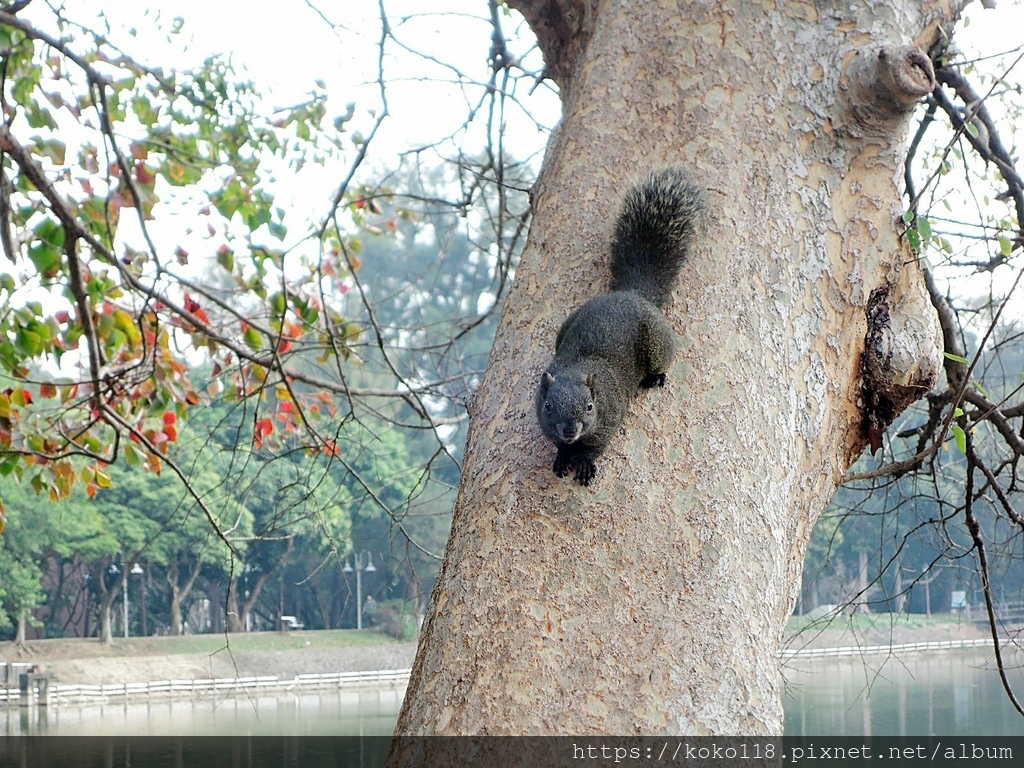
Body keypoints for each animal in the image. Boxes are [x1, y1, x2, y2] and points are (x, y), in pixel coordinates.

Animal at [532, 167, 708, 487]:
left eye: (590, 406)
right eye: (548, 406)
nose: (570, 430)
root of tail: (631, 293)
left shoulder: (610, 418)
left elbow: (597, 447)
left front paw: (584, 462)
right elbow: (559, 446)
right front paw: (563, 455)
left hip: (657, 342)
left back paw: (656, 377)